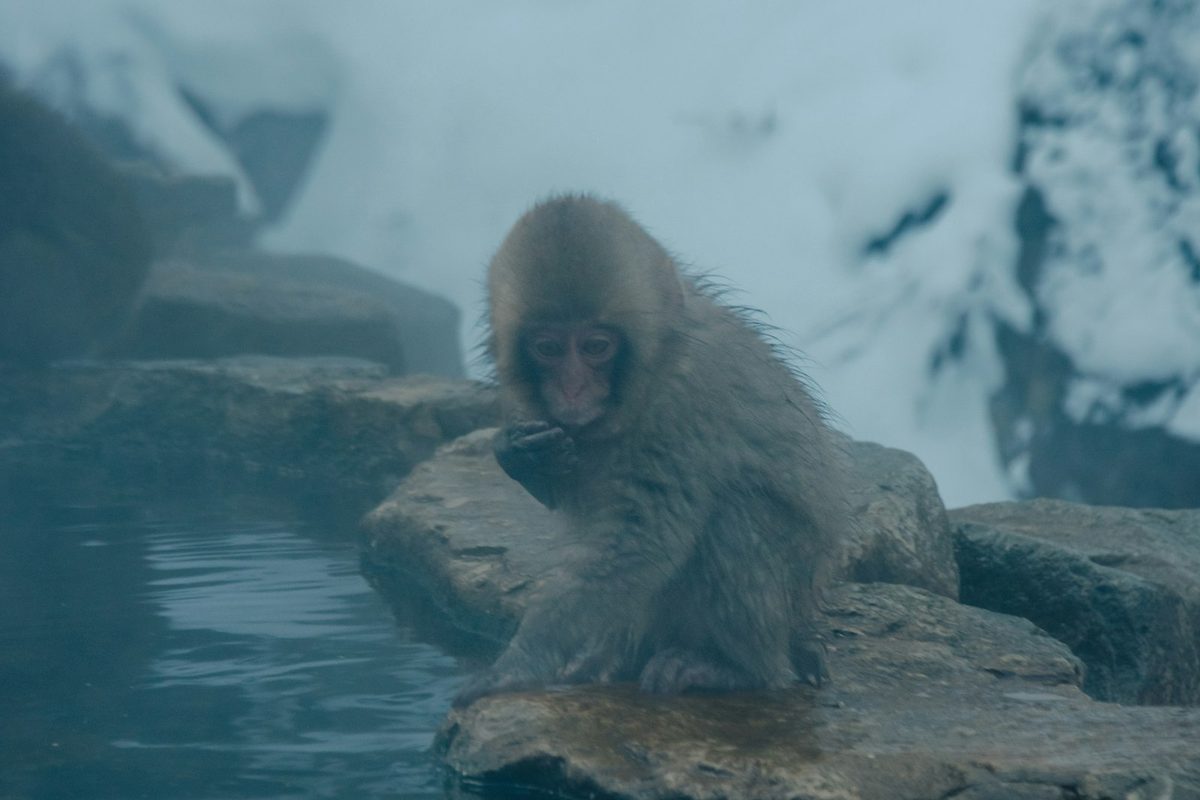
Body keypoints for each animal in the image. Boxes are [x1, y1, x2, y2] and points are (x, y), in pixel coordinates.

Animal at [456, 195, 848, 706]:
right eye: (548, 348)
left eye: (595, 346)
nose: (573, 388)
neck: (656, 362)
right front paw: (519, 453)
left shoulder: (680, 408)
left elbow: (639, 539)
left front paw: (519, 662)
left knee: (736, 516)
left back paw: (736, 668)